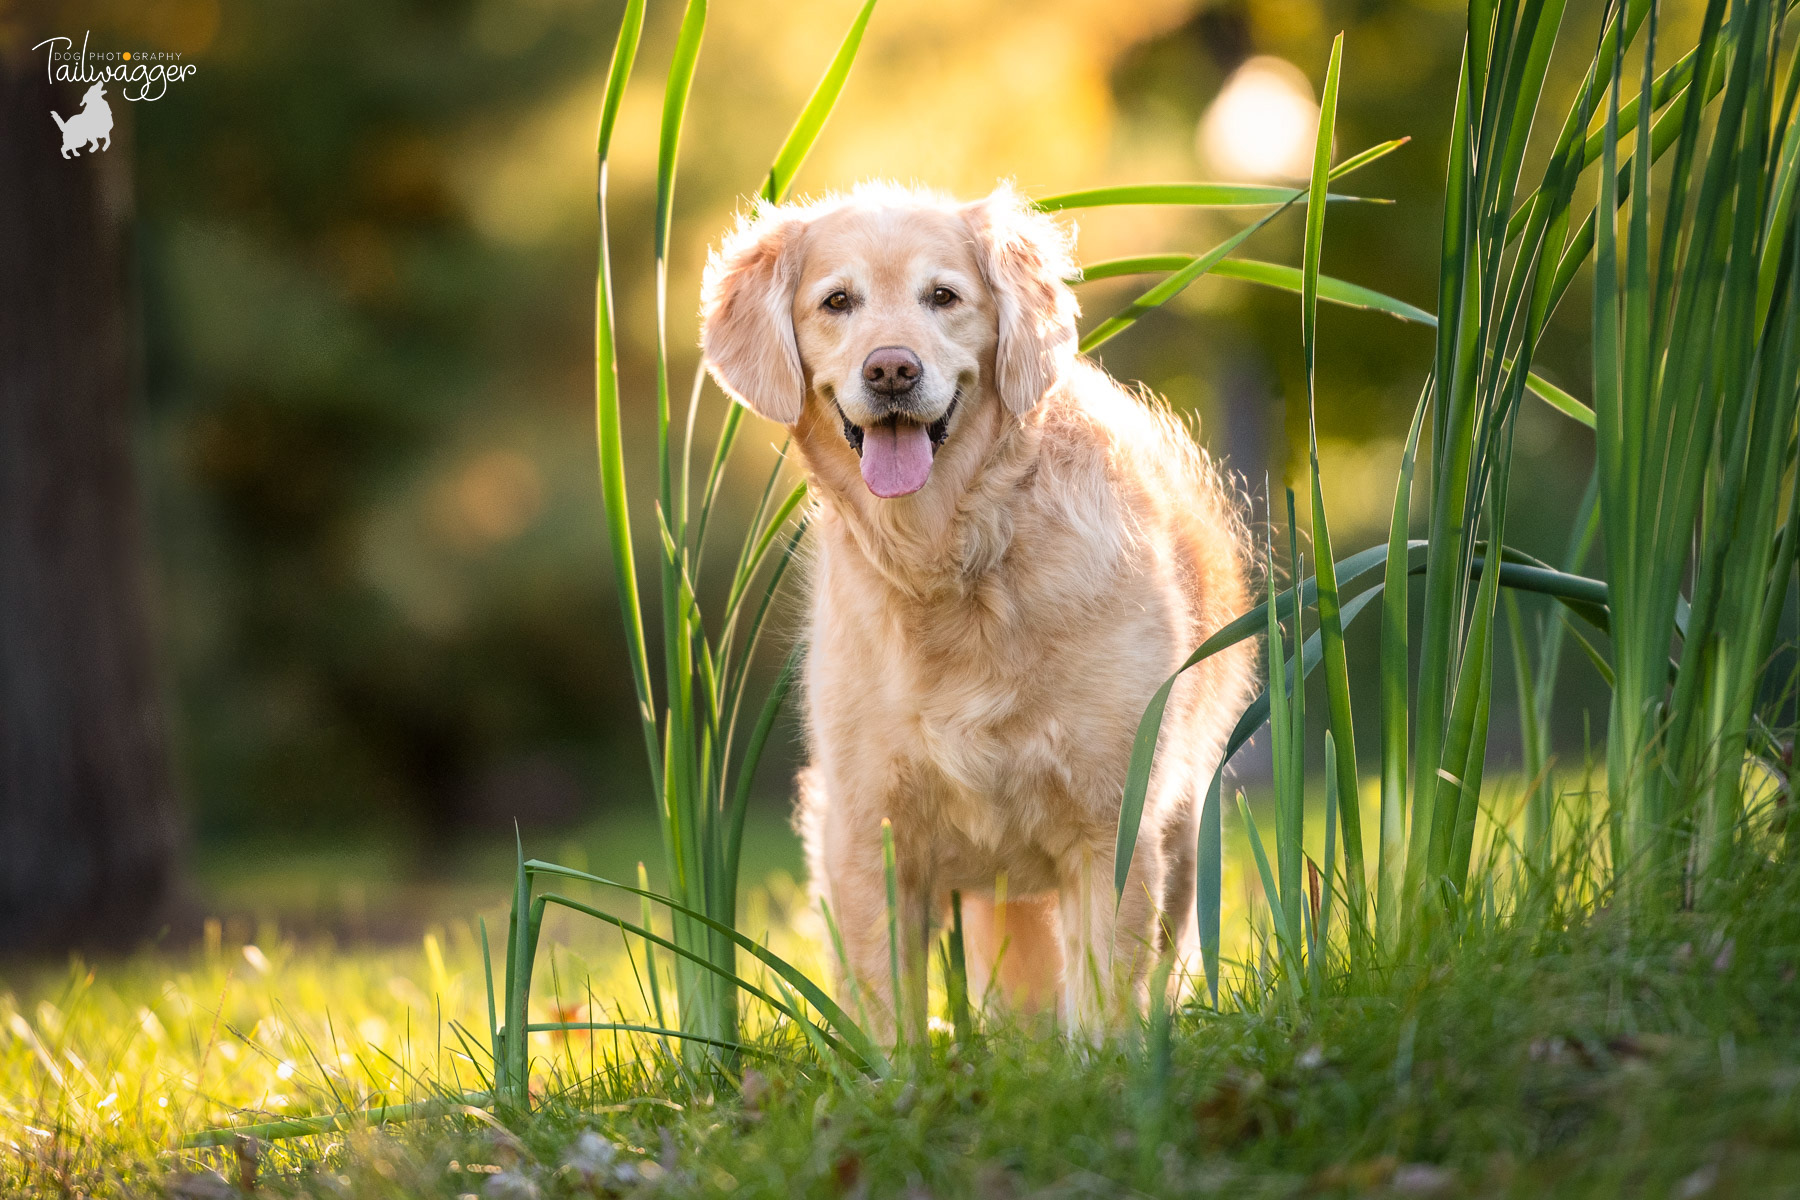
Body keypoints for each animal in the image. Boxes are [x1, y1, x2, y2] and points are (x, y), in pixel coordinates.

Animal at [698, 183, 1252, 1036]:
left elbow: (1104, 1002)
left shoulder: (1112, 820)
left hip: (1184, 824)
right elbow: (886, 1014)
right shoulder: (866, 832)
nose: (892, 369)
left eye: (944, 297)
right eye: (837, 301)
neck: (950, 557)